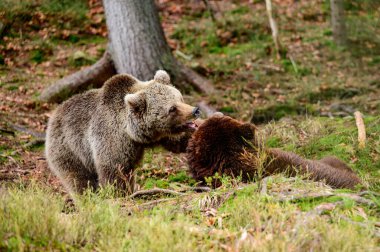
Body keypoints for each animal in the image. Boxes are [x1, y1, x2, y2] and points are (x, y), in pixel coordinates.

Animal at [46, 70, 200, 194]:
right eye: (172, 108)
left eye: (180, 98)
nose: (195, 110)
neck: (130, 132)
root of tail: (54, 115)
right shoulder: (110, 137)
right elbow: (114, 170)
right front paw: (119, 194)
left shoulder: (159, 135)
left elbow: (178, 142)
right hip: (70, 149)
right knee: (79, 179)